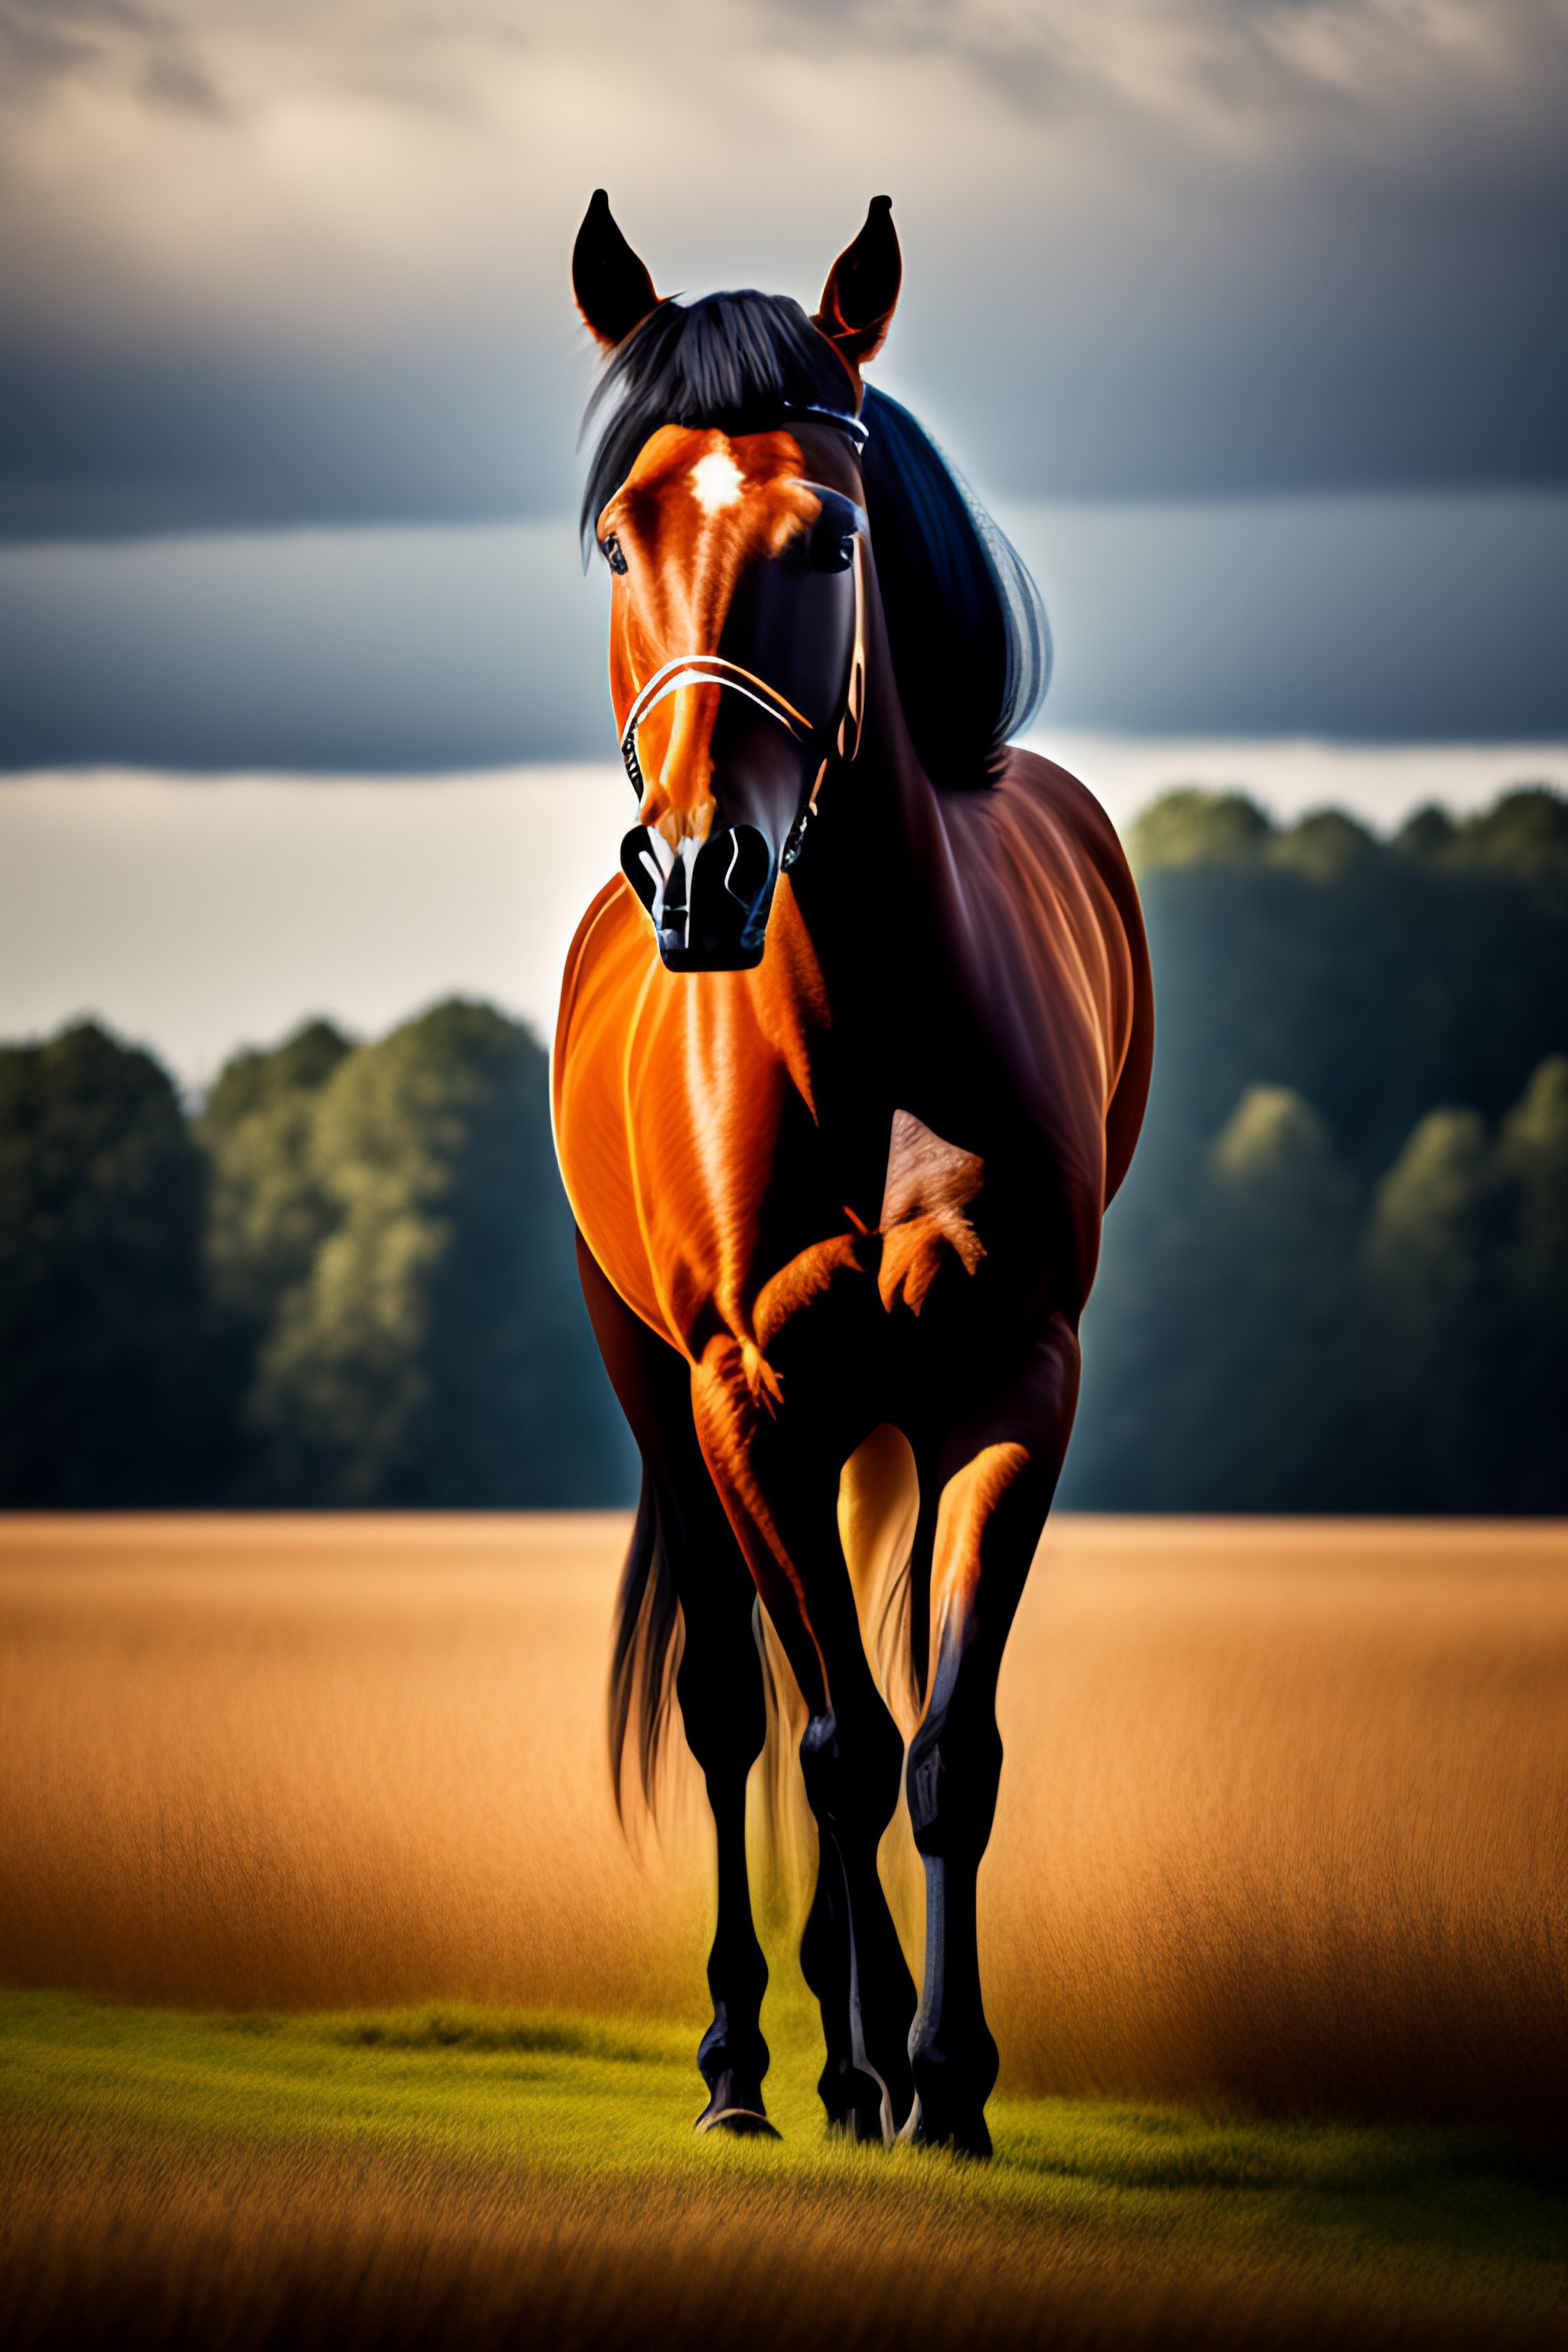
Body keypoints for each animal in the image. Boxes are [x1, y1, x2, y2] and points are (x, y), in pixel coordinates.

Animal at [553, 190, 1153, 2158]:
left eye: (827, 533)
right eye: (618, 535)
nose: (696, 872)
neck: (875, 1026)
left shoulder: (1009, 1376)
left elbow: (945, 1744)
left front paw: (947, 2086)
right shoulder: (750, 1391)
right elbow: (835, 1740)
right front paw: (872, 2062)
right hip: (668, 1396)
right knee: (743, 1709)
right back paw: (759, 2059)